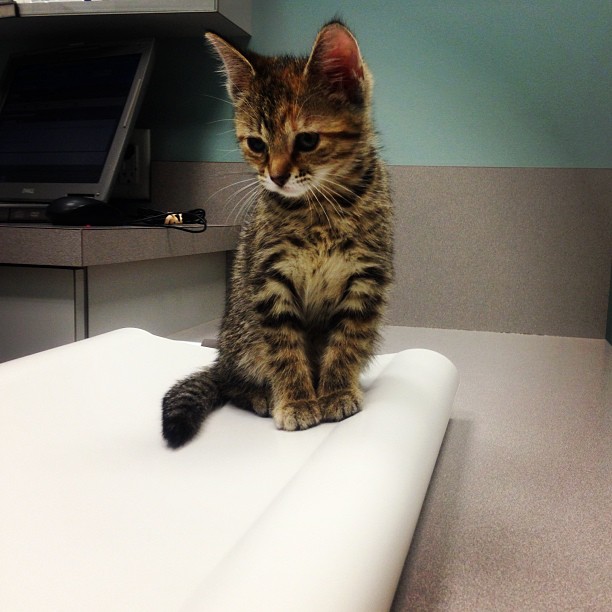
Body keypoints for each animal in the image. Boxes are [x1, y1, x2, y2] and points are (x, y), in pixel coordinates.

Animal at [163, 20, 392, 450]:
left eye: (307, 140)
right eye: (256, 144)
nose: (277, 176)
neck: (318, 208)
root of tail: (223, 355)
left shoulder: (365, 278)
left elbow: (348, 340)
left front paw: (336, 392)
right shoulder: (269, 279)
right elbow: (284, 348)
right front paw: (298, 400)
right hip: (244, 336)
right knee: (232, 383)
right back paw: (261, 394)